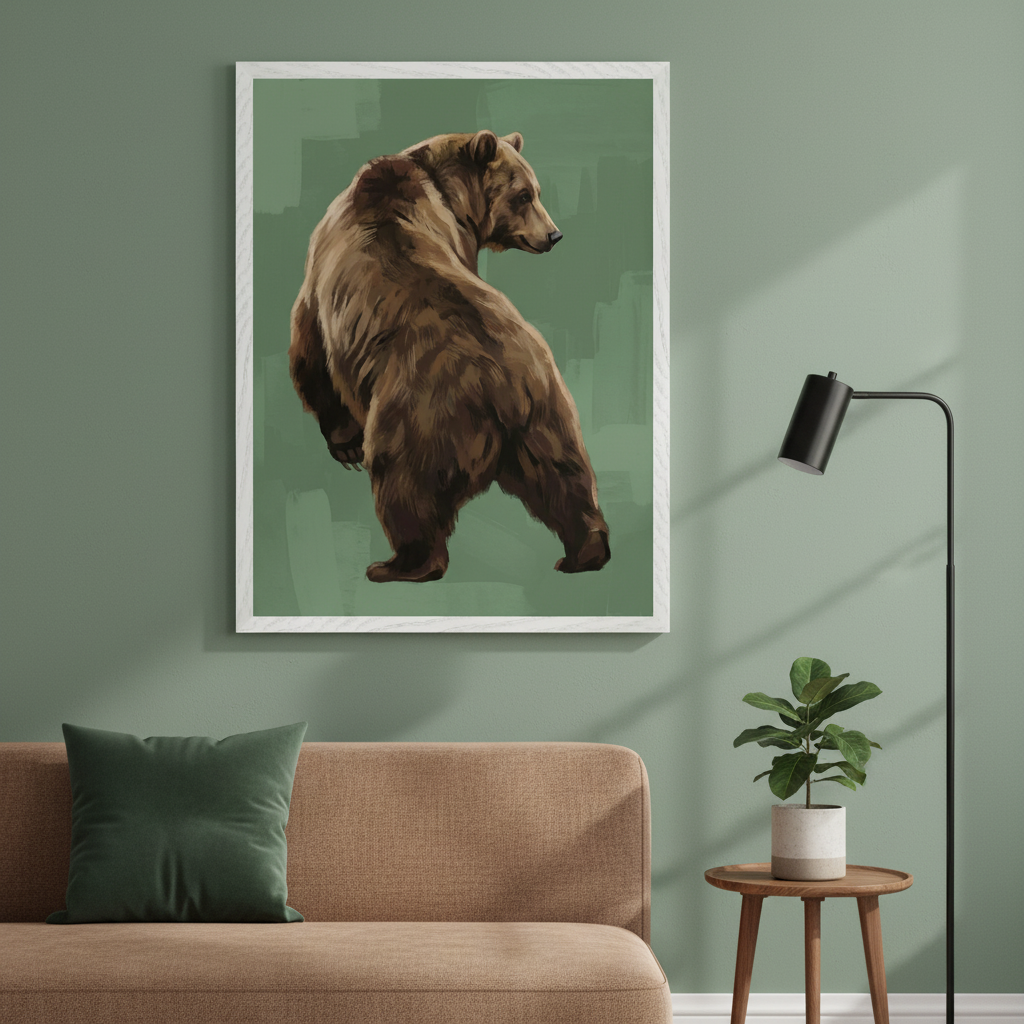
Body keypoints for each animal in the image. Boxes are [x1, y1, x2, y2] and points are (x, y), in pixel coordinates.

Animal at [288, 129, 610, 584]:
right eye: (524, 195)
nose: (553, 235)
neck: (441, 186)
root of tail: (502, 381)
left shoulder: (321, 284)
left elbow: (310, 350)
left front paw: (345, 446)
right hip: (548, 414)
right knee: (567, 480)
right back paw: (584, 553)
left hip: (418, 416)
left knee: (405, 487)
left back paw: (397, 564)